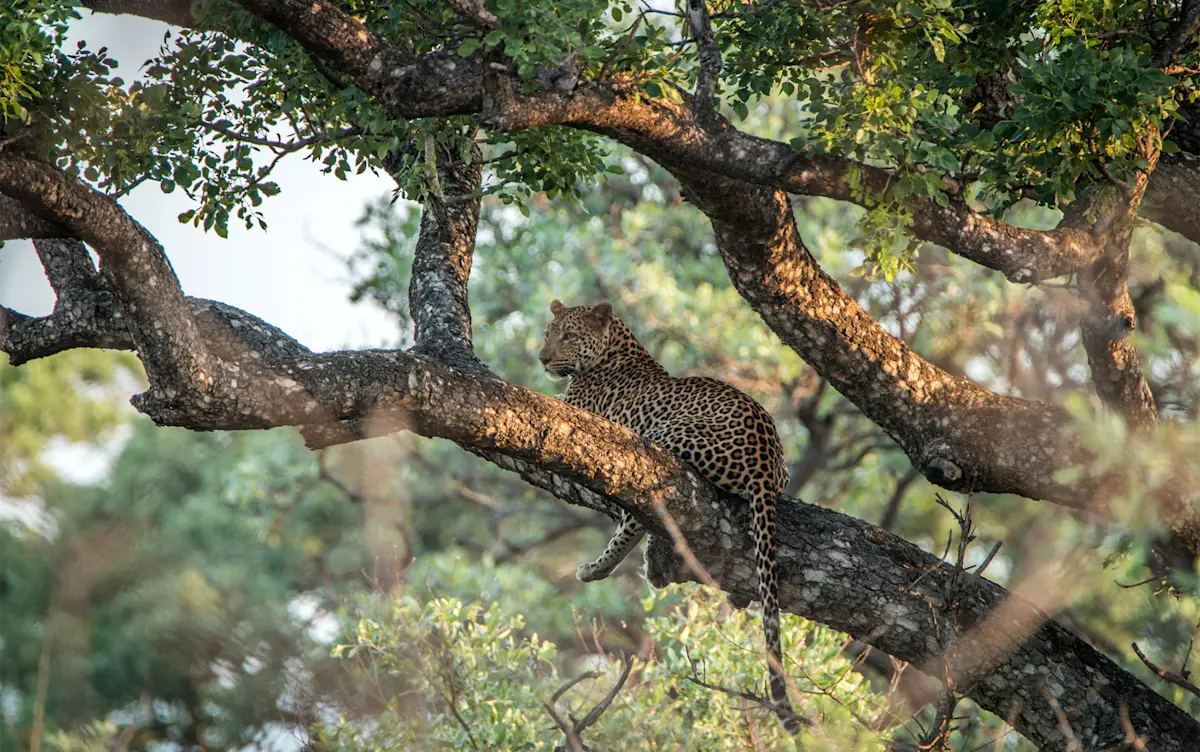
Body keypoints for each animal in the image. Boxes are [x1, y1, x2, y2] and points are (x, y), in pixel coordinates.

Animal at [538, 299, 795, 724]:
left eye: (569, 336)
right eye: (548, 334)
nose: (542, 358)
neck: (617, 346)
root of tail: (763, 455)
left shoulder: (571, 409)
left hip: (659, 438)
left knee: (638, 511)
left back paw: (599, 567)